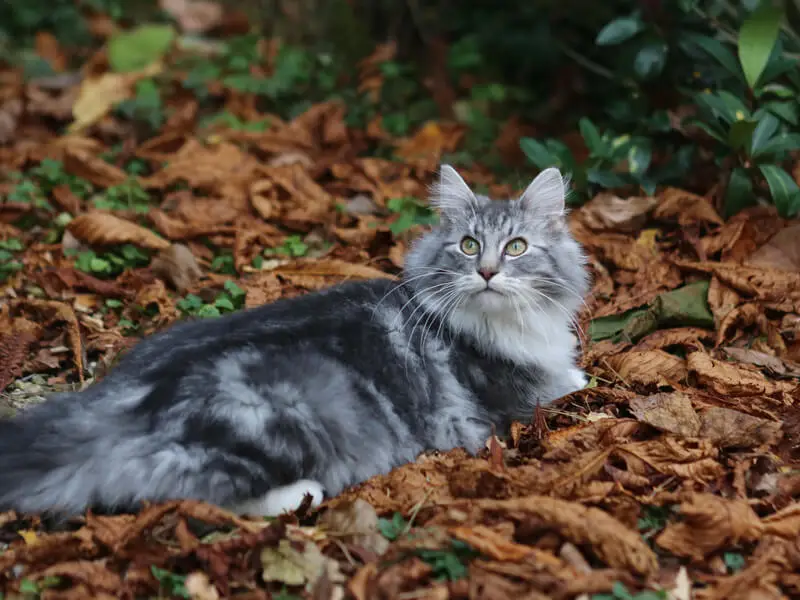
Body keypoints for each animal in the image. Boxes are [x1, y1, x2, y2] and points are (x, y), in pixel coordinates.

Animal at [0, 164, 588, 516]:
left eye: (516, 247)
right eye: (468, 245)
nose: (487, 272)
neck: (497, 324)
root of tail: (117, 403)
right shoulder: (525, 396)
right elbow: (577, 382)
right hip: (274, 421)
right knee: (188, 498)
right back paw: (302, 493)